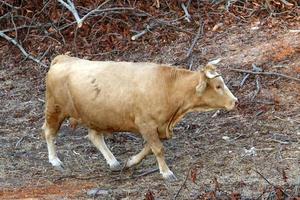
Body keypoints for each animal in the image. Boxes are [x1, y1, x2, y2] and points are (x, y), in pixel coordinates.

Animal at [42, 54, 238, 181]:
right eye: (218, 86)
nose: (235, 101)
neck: (168, 87)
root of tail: (63, 59)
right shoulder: (146, 124)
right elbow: (158, 148)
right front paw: (166, 172)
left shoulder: (158, 126)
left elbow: (150, 148)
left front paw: (131, 162)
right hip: (55, 108)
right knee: (48, 131)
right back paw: (55, 161)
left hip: (94, 116)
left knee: (95, 136)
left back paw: (113, 162)